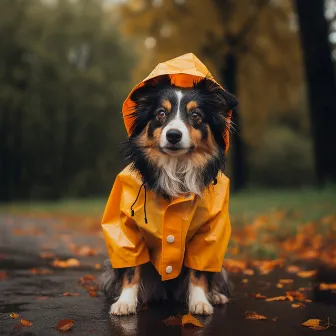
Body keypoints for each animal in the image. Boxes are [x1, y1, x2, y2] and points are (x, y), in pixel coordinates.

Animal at [100, 52, 236, 316]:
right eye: (161, 114)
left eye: (196, 116)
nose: (173, 135)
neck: (176, 168)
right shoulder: (126, 229)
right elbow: (131, 269)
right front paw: (125, 302)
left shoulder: (208, 233)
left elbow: (199, 271)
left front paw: (200, 301)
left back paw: (215, 294)